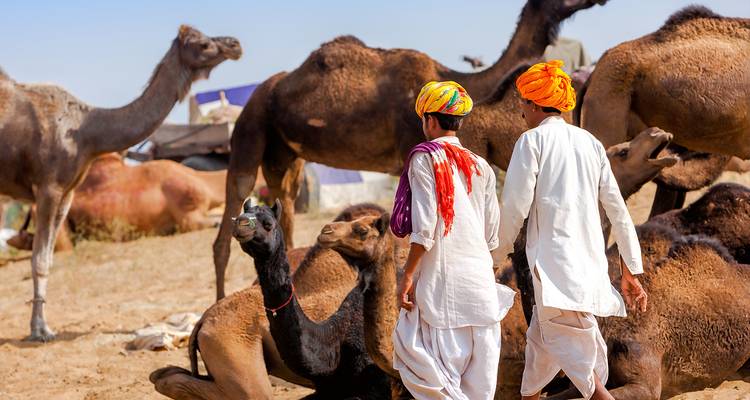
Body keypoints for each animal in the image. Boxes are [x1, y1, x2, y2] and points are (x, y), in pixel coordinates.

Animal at [0, 26, 241, 341]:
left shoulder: (67, 192)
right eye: (202, 43)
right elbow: (39, 260)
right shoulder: (48, 187)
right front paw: (39, 330)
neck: (86, 133)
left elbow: (48, 259)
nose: (235, 44)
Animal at [212, 0, 609, 299]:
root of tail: (261, 93)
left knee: (286, 204)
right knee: (230, 218)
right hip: (249, 130)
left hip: (285, 156)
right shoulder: (412, 148)